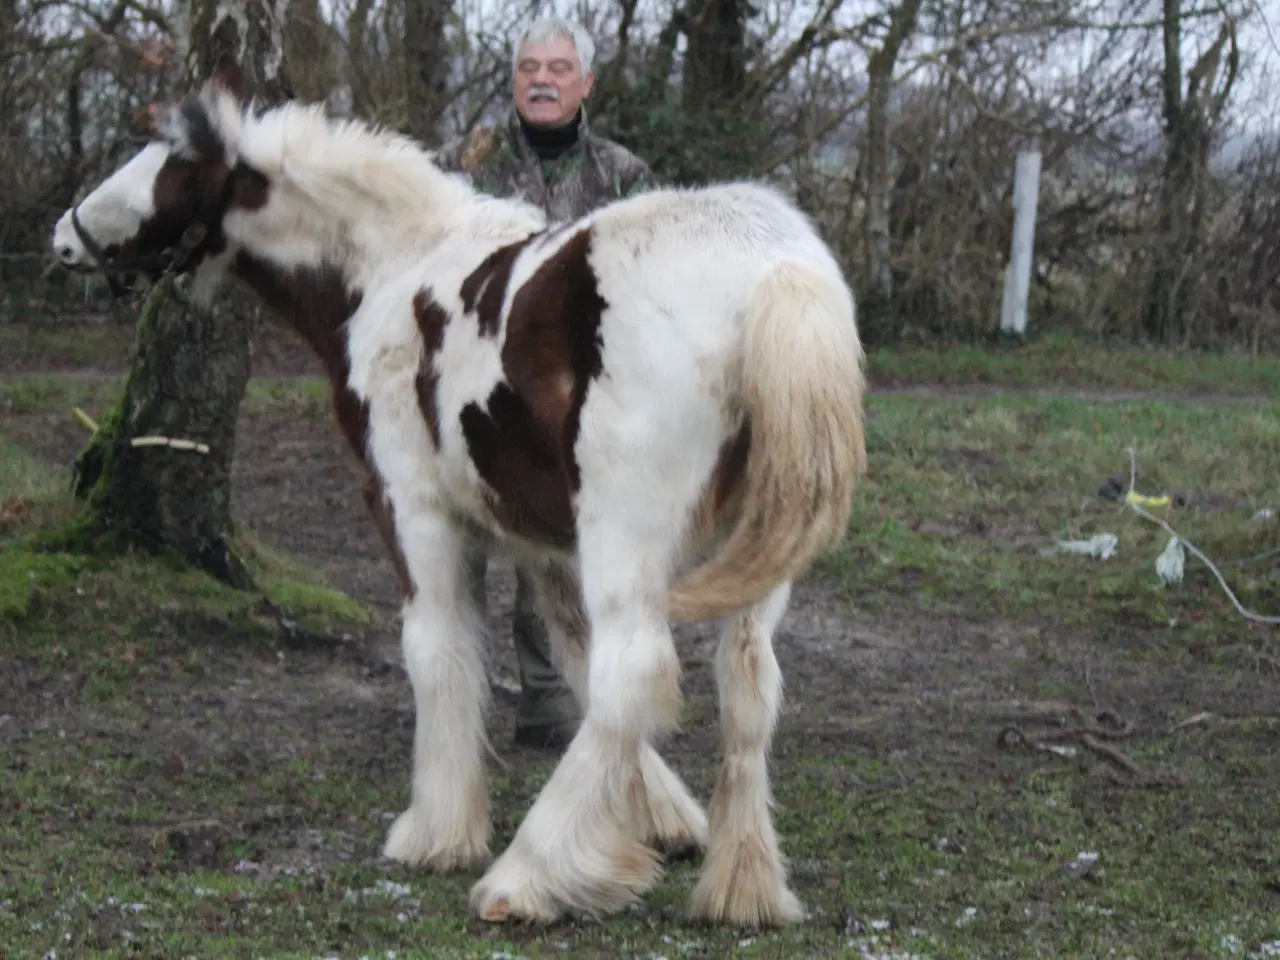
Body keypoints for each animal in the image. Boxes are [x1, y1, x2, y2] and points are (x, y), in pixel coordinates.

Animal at [52, 60, 870, 931]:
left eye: (163, 156)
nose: (64, 237)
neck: (388, 271)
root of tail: (774, 270)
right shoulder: (543, 543)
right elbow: (568, 652)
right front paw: (660, 817)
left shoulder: (413, 514)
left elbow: (441, 655)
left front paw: (438, 832)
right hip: (751, 562)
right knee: (746, 686)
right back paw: (741, 888)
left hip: (628, 535)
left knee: (635, 672)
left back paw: (525, 878)